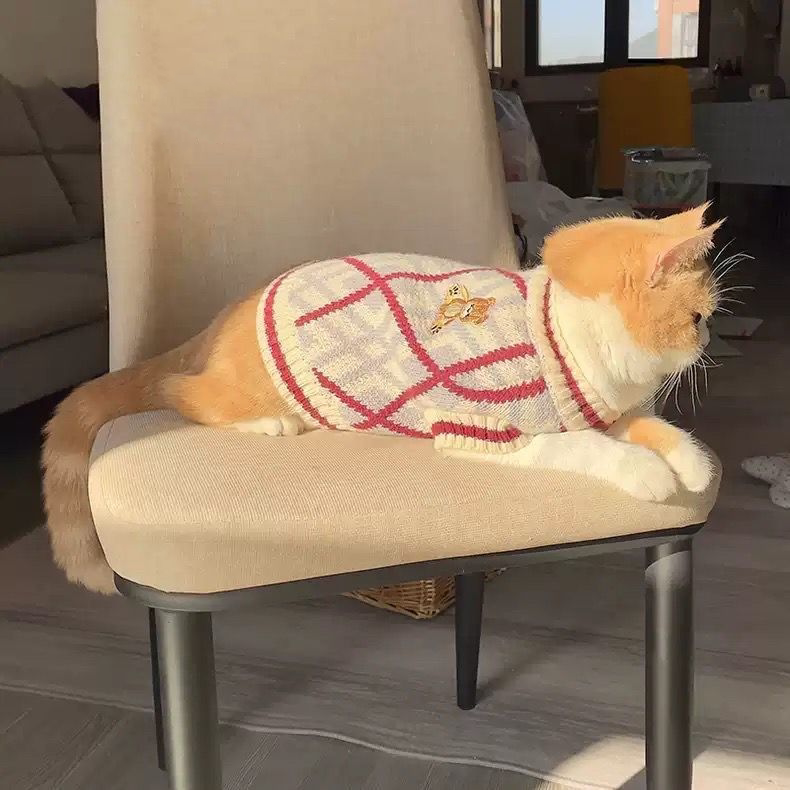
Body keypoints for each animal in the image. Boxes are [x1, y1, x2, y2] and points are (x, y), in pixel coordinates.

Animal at [42, 205, 721, 595]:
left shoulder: (609, 409)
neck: (567, 331)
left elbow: (651, 428)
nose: (710, 339)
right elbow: (589, 447)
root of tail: (224, 316)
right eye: (696, 318)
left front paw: (690, 463)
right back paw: (265, 423)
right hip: (234, 388)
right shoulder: (491, 430)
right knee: (179, 391)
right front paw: (648, 474)